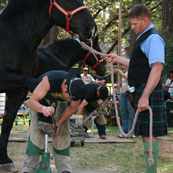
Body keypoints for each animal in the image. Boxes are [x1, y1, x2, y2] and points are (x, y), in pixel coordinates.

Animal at [0, 0, 96, 170]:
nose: (90, 27)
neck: (12, 40)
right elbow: (34, 83)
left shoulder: (18, 92)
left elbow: (7, 124)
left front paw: (4, 160)